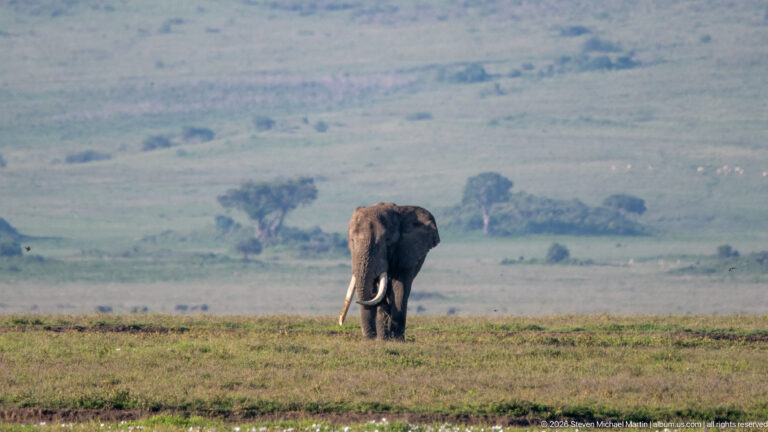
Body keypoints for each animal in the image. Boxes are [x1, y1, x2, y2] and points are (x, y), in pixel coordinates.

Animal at [338, 202, 440, 341]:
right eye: (352, 241)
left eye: (387, 241)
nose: (369, 337)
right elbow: (375, 290)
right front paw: (376, 339)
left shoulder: (406, 252)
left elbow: (400, 287)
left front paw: (397, 340)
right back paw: (383, 337)